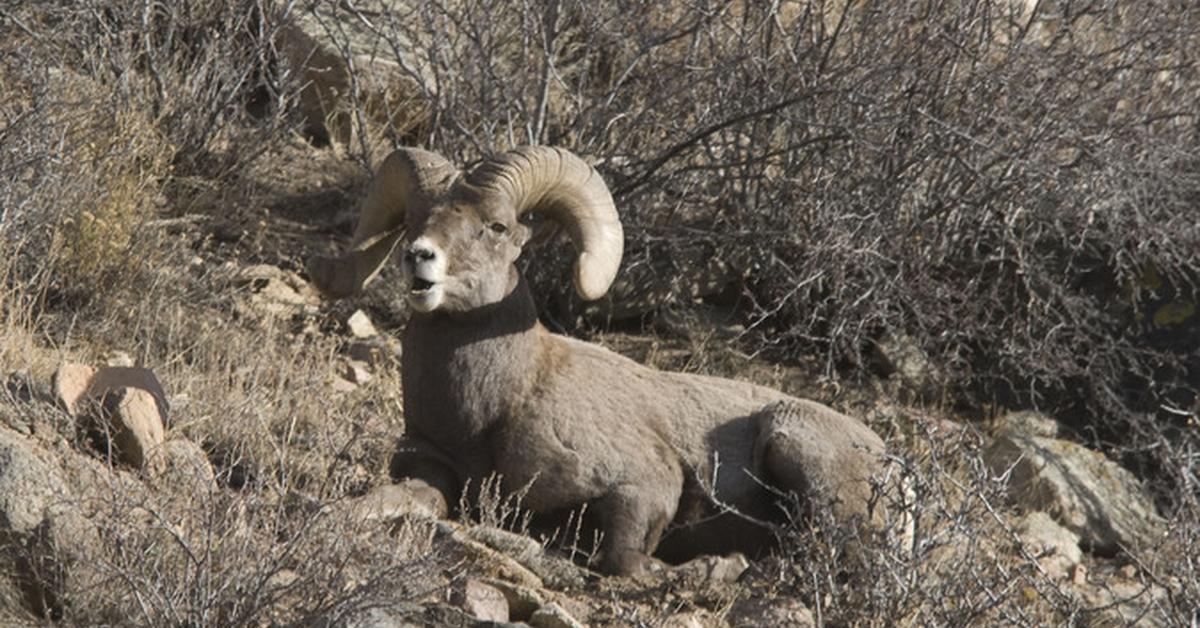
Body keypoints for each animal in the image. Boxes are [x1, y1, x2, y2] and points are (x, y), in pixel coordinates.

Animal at [309, 146, 902, 573]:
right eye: (412, 220)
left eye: (496, 227)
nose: (420, 259)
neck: (492, 410)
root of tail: (894, 467)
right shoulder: (433, 473)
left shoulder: (643, 483)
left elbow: (623, 560)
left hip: (791, 439)